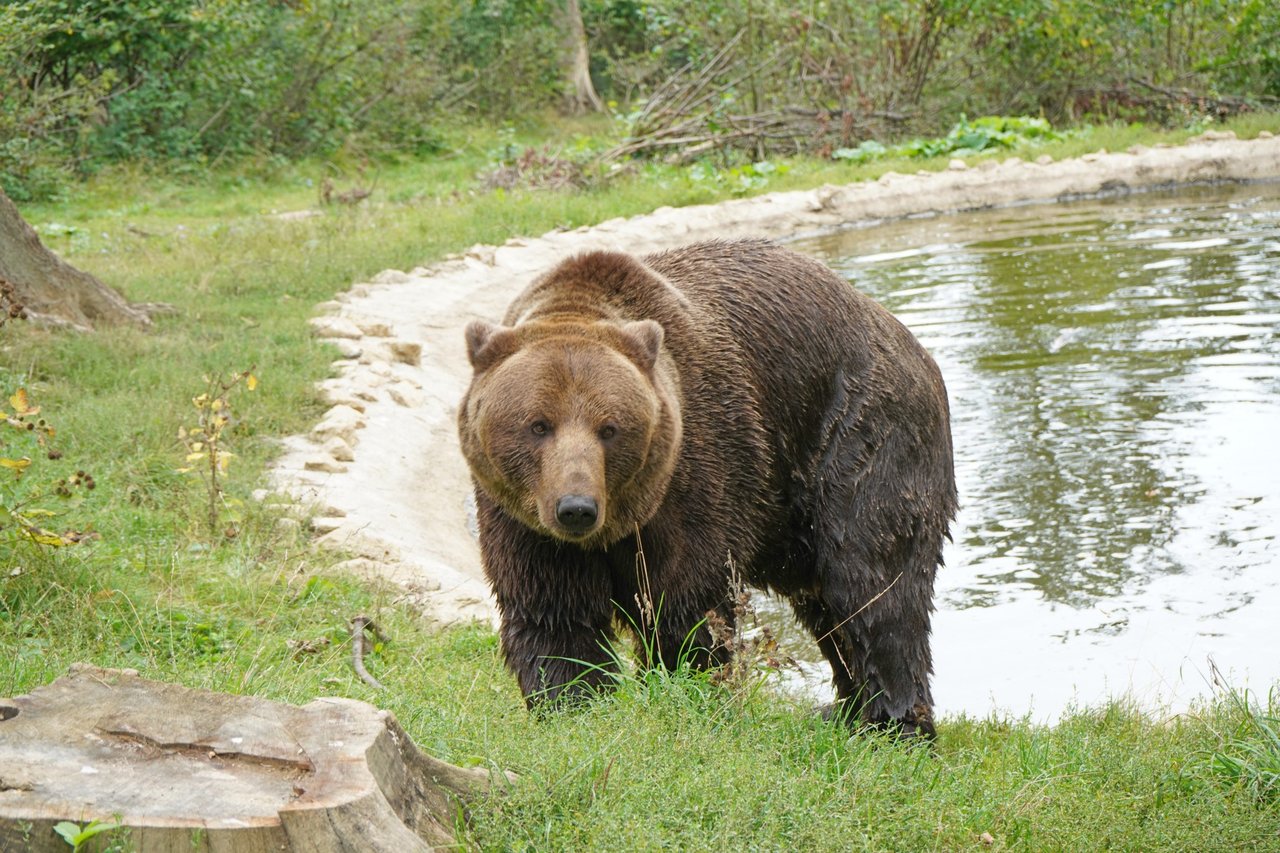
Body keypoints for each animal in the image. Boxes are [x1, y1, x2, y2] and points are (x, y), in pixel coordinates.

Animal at [455, 235, 957, 732]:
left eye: (609, 428)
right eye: (538, 425)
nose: (576, 507)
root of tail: (912, 344)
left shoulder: (698, 470)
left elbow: (685, 605)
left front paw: (682, 687)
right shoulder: (523, 520)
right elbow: (554, 614)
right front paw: (574, 704)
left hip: (858, 435)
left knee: (870, 583)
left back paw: (893, 723)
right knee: (824, 605)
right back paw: (846, 711)